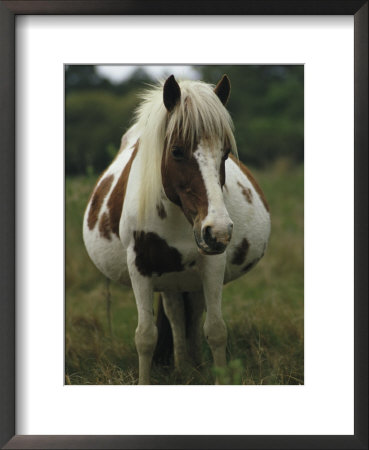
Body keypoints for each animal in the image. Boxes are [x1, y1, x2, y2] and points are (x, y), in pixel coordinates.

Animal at [82, 74, 268, 384]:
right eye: (177, 151)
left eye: (225, 153)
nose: (217, 231)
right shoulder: (140, 268)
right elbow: (146, 337)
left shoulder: (213, 264)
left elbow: (215, 330)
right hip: (169, 277)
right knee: (175, 315)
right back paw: (183, 368)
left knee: (189, 317)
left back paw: (193, 366)